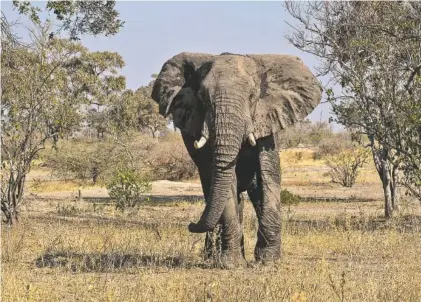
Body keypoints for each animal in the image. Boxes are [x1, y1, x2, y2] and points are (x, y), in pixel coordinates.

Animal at [152, 51, 322, 266]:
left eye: (252, 96)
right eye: (202, 97)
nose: (190, 225)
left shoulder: (267, 117)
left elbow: (268, 173)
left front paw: (268, 261)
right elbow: (225, 182)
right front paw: (231, 264)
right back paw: (213, 257)